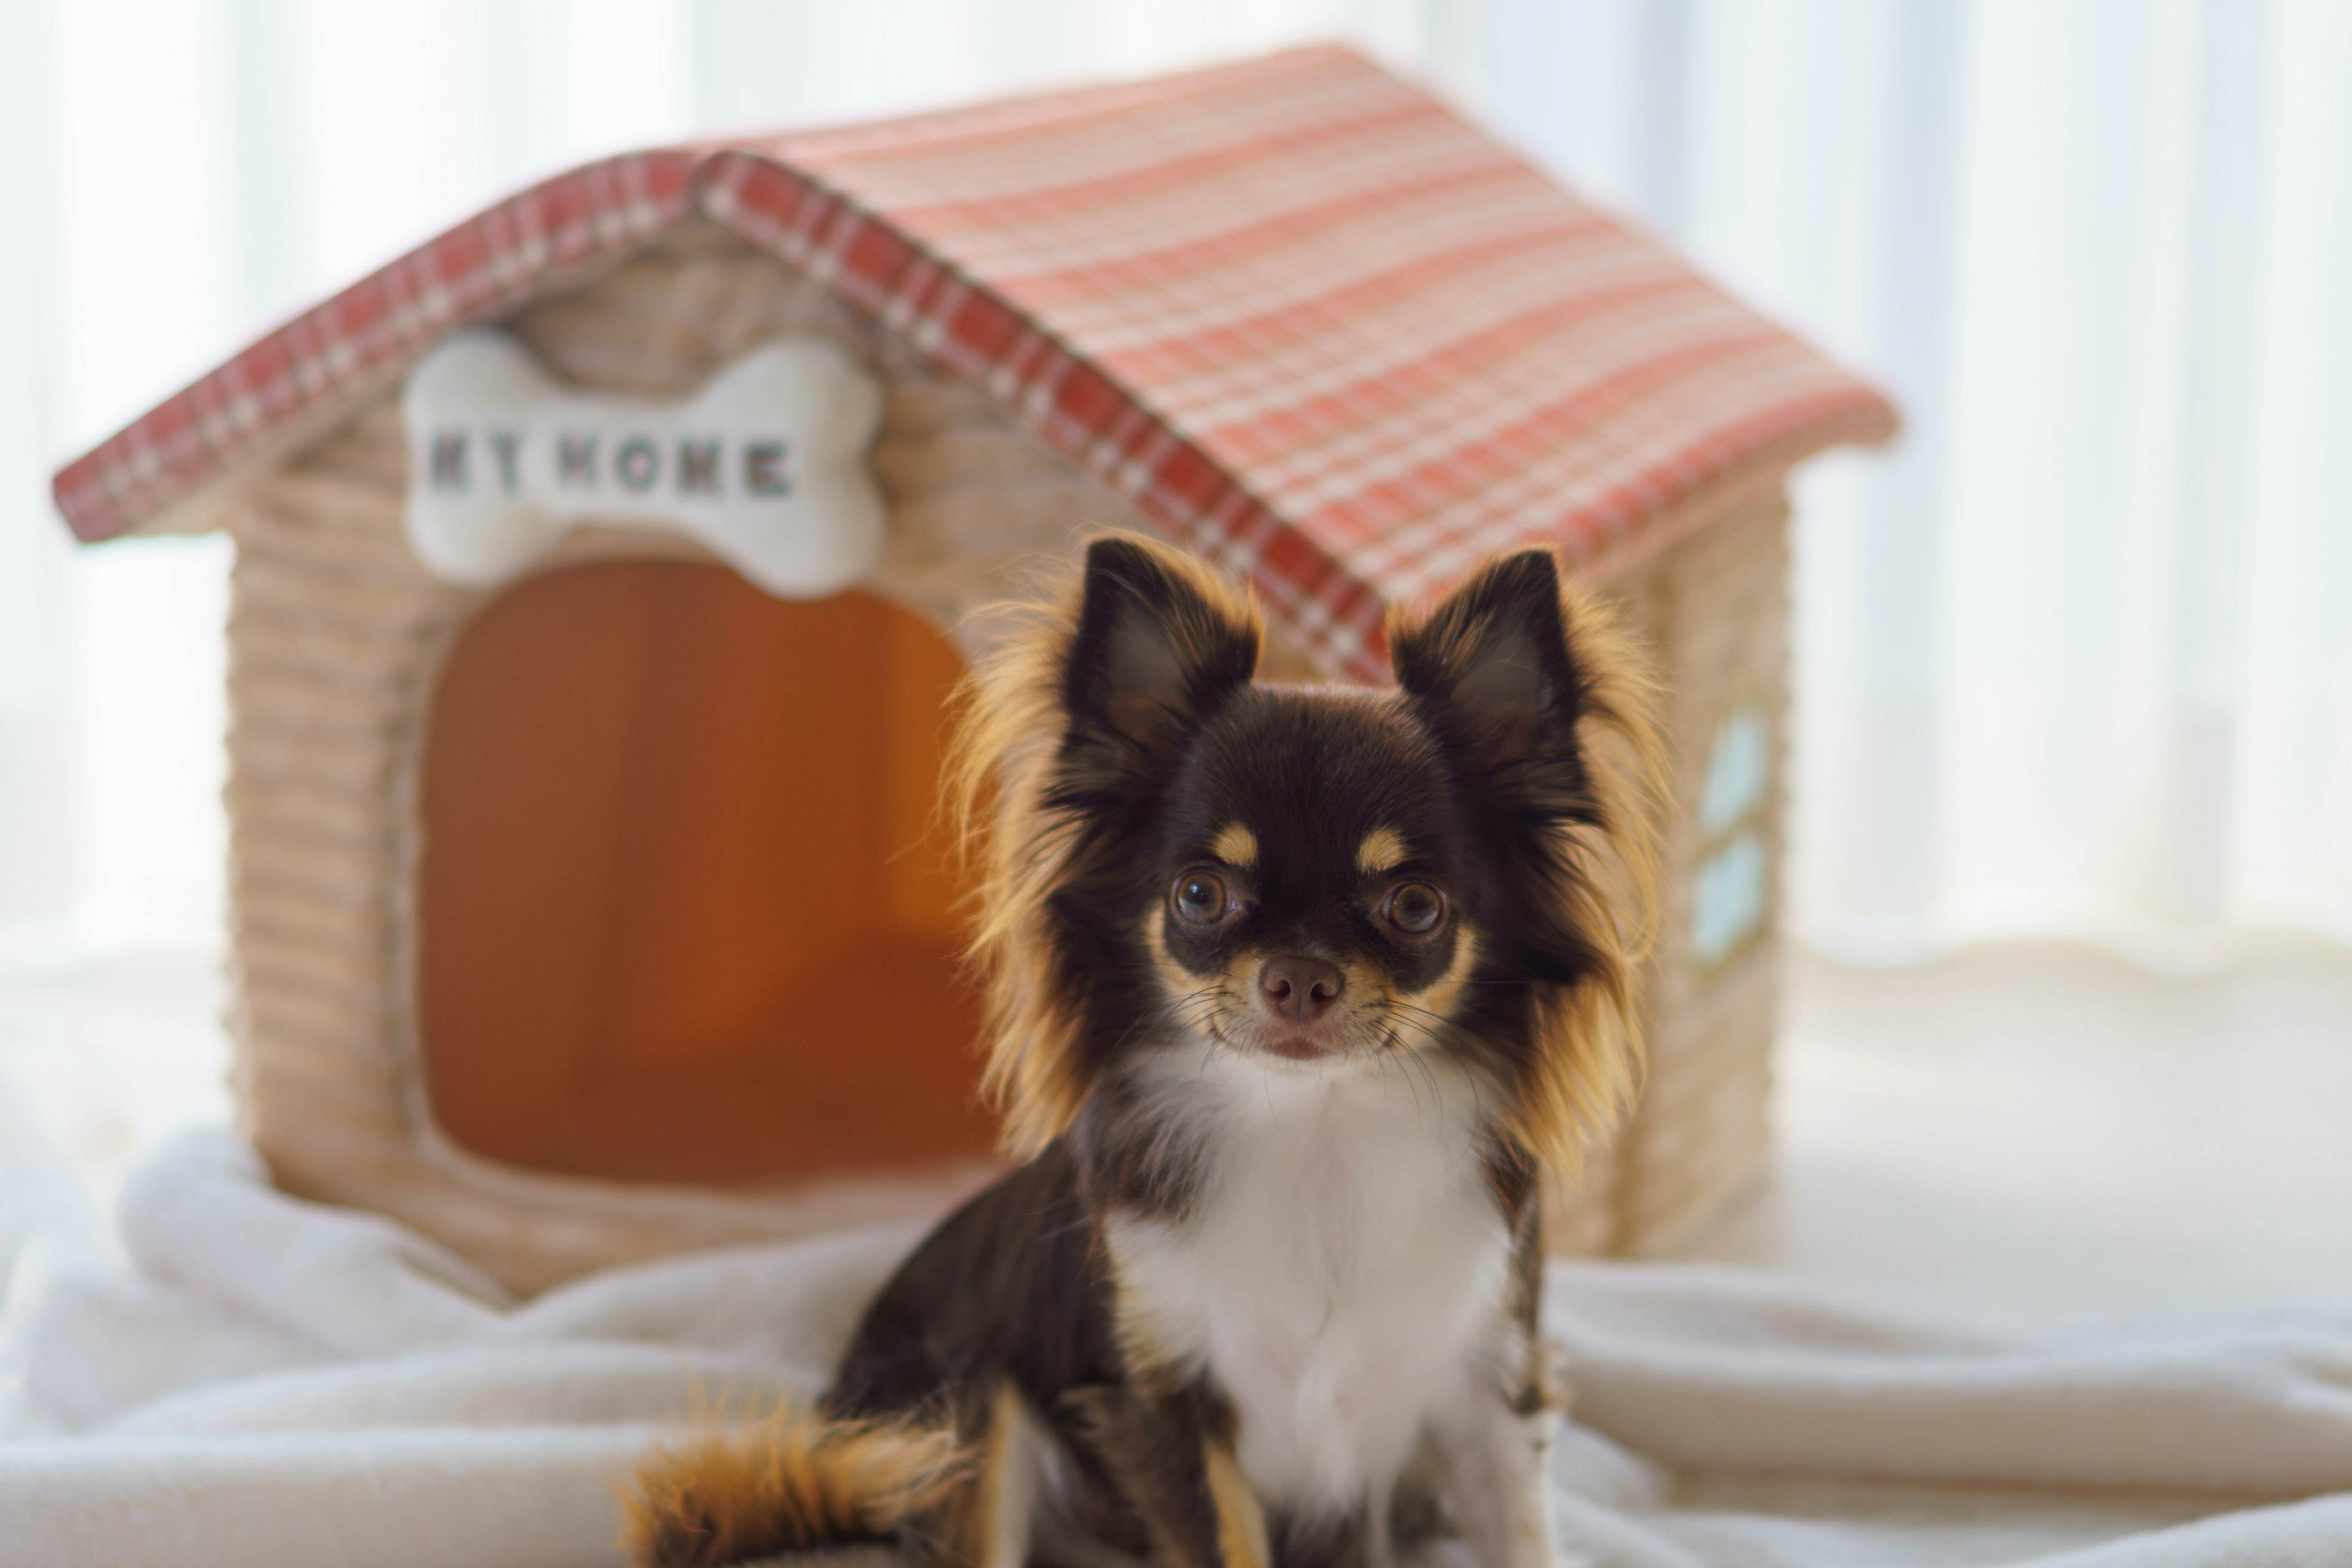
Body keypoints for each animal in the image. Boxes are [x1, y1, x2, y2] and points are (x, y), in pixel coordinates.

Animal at [625, 536, 1656, 1568]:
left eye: (1414, 907)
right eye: (1200, 895)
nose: (1298, 976)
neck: (1315, 1126)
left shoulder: (1491, 1386)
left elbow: (1523, 1537)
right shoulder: (1161, 1399)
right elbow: (1222, 1542)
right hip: (964, 1412)